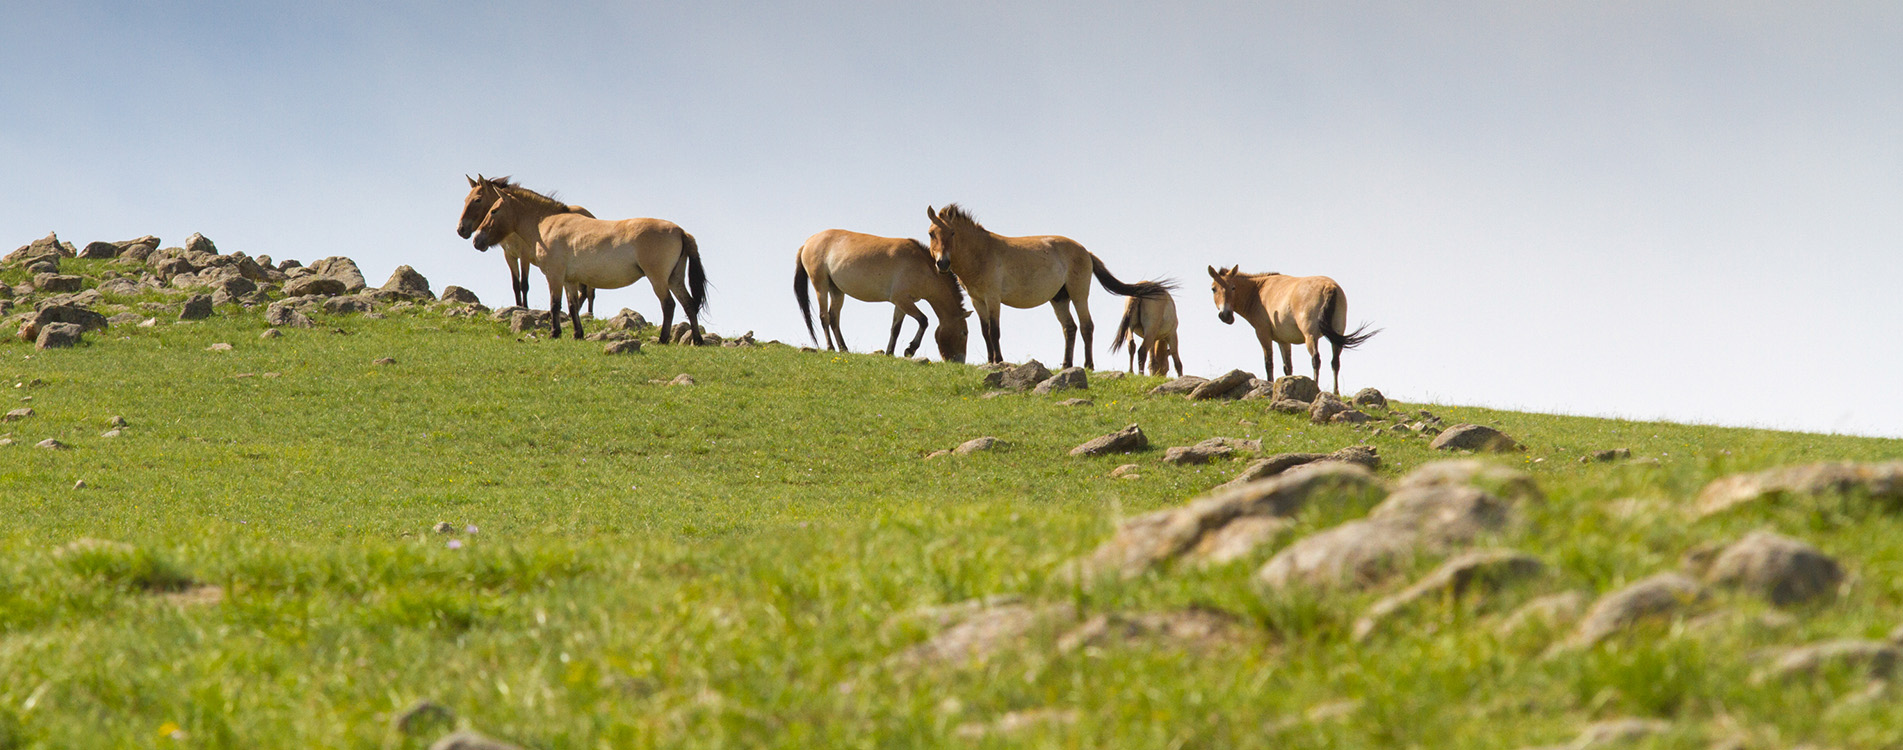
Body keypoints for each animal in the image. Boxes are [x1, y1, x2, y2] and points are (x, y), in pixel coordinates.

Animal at [452, 176, 593, 314]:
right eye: (466, 199)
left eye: (477, 200)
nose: (461, 229)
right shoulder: (510, 256)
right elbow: (516, 285)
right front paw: (518, 306)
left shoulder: (524, 256)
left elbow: (524, 285)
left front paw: (525, 307)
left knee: (589, 293)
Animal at [471, 182, 711, 340]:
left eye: (494, 210)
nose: (476, 239)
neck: (546, 224)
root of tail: (680, 231)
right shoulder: (569, 279)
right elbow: (572, 305)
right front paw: (577, 333)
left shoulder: (554, 275)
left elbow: (555, 304)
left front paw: (555, 332)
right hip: (674, 278)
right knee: (688, 303)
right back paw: (697, 340)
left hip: (658, 279)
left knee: (668, 304)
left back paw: (663, 339)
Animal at [787, 228, 966, 363]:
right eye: (964, 333)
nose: (960, 361)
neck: (923, 266)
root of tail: (808, 243)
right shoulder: (902, 300)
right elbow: (923, 320)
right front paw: (910, 349)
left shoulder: (901, 303)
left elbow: (895, 329)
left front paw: (890, 352)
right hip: (821, 286)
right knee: (824, 316)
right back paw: (831, 347)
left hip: (837, 290)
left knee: (833, 318)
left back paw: (844, 349)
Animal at [924, 203, 1172, 371]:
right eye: (931, 233)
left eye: (952, 232)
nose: (942, 263)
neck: (982, 252)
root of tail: (1085, 251)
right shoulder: (978, 301)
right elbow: (986, 332)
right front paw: (990, 361)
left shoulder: (993, 298)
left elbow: (995, 331)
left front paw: (999, 361)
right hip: (1059, 299)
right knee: (1070, 328)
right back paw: (1066, 365)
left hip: (1079, 295)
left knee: (1086, 327)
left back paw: (1088, 365)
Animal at [1210, 264, 1377, 395]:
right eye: (1214, 289)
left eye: (1233, 287)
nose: (1225, 315)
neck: (1259, 291)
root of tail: (1330, 287)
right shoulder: (1283, 341)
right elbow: (1288, 367)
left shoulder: (1263, 334)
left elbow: (1269, 362)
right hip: (1337, 335)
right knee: (1335, 362)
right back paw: (1336, 393)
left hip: (1310, 336)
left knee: (1316, 359)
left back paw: (1316, 387)